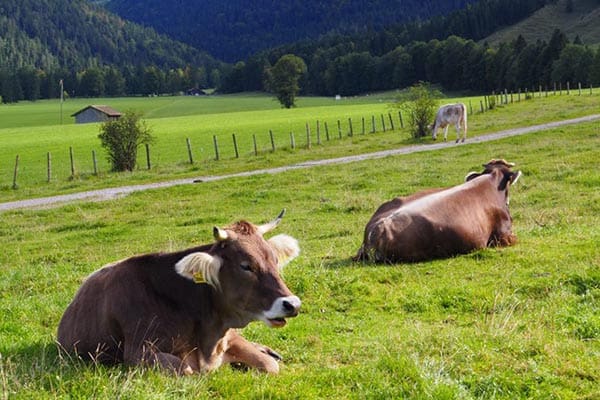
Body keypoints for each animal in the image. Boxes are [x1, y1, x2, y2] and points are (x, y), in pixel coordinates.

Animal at [56, 209, 300, 376]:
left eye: (275, 260)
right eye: (246, 266)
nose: (293, 304)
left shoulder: (228, 336)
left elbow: (270, 365)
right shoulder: (138, 353)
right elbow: (187, 370)